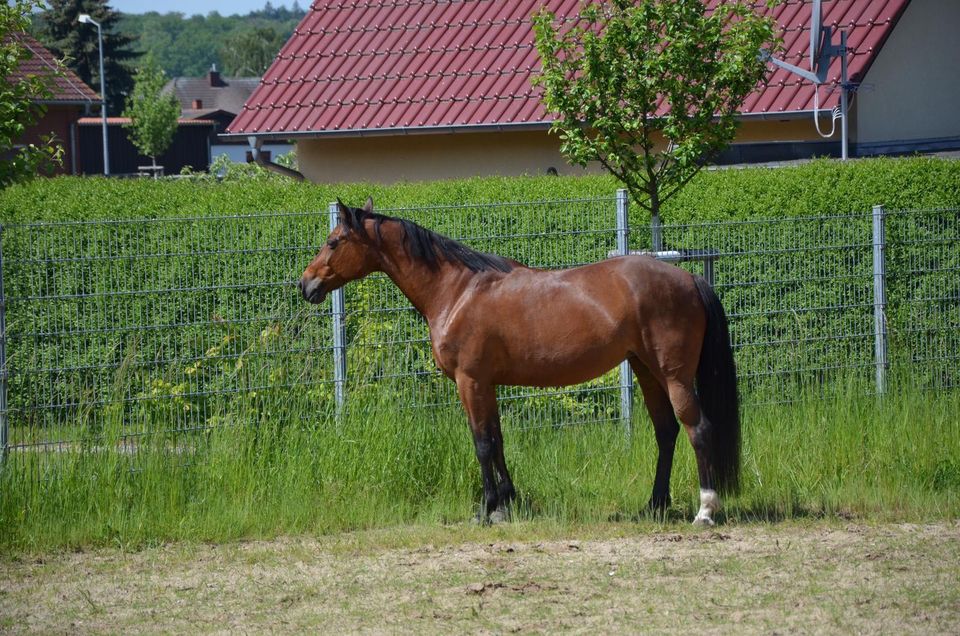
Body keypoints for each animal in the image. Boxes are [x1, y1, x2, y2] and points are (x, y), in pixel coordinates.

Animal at [302, 199, 744, 528]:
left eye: (334, 241)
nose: (305, 284)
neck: (458, 291)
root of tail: (689, 278)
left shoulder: (470, 381)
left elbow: (482, 443)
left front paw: (486, 510)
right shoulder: (487, 384)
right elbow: (497, 441)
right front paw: (506, 503)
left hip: (673, 375)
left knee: (698, 428)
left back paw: (705, 510)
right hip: (645, 370)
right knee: (666, 431)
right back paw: (654, 506)